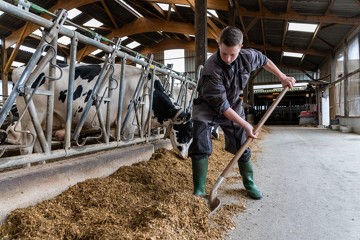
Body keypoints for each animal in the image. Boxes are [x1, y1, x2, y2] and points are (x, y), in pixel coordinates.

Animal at [9, 62, 193, 158]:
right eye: (189, 132)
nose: (186, 156)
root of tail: (19, 69)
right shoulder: (129, 125)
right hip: (30, 116)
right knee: (26, 147)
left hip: (41, 120)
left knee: (38, 146)